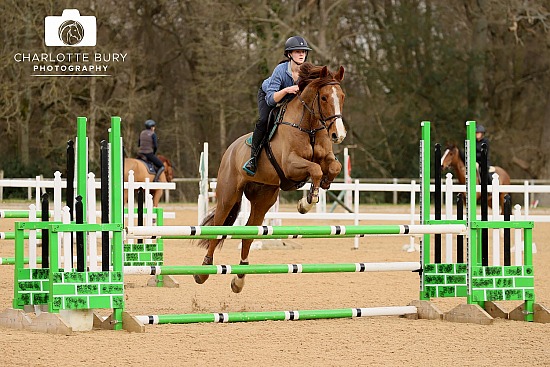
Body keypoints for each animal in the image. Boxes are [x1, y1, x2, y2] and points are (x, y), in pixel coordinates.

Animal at [196, 62, 348, 294]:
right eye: (323, 98)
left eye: (342, 96)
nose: (338, 135)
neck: (310, 127)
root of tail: (230, 150)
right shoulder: (291, 165)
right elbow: (314, 169)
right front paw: (306, 203)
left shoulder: (326, 158)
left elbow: (333, 167)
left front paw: (320, 187)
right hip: (227, 196)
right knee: (218, 228)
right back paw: (203, 271)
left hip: (263, 198)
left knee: (249, 234)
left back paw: (239, 279)